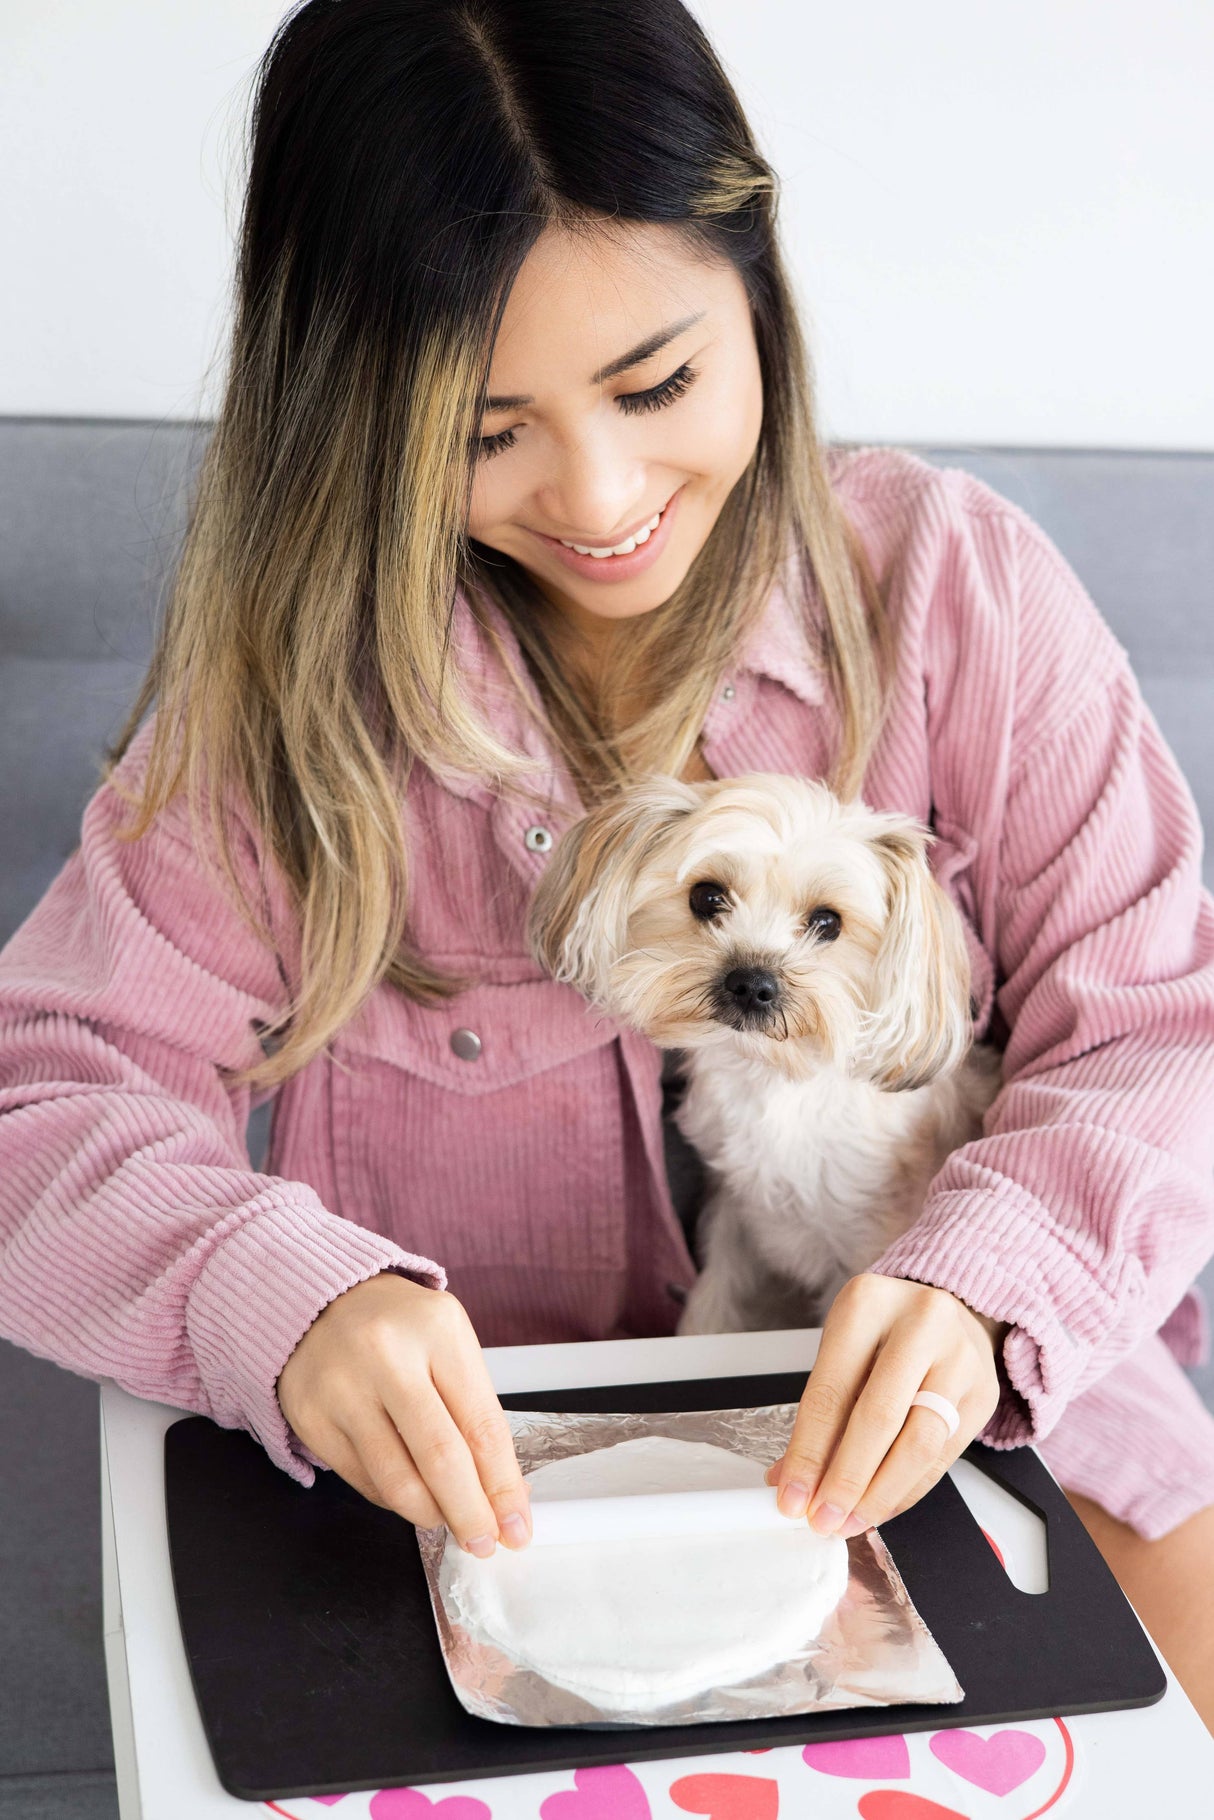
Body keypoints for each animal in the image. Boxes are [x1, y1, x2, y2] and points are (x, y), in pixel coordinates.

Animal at [527, 771, 1004, 1339]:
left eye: (827, 923)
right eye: (707, 896)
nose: (752, 983)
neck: (772, 1081)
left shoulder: (865, 1240)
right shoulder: (735, 1218)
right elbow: (715, 1302)